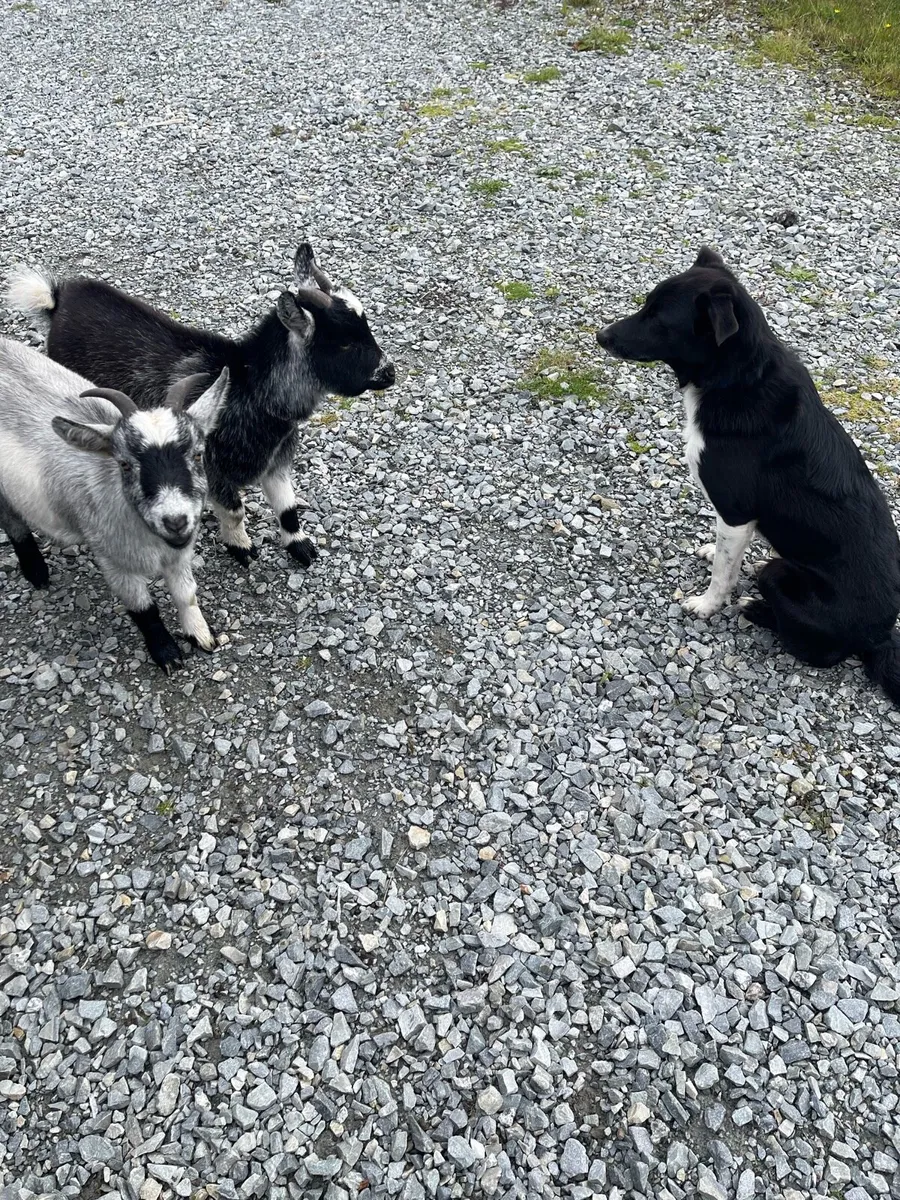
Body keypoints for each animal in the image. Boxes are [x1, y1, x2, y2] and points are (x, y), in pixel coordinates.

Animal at [0, 336, 228, 672]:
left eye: (198, 454)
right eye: (124, 464)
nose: (175, 521)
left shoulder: (179, 555)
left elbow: (186, 594)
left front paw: (201, 635)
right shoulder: (115, 561)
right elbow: (144, 608)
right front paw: (167, 655)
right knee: (12, 521)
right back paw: (36, 572)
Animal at [7, 244, 396, 568]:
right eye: (344, 343)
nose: (388, 373)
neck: (250, 388)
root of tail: (57, 300)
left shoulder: (275, 460)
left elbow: (287, 508)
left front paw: (299, 547)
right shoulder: (215, 464)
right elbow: (235, 511)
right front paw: (241, 548)